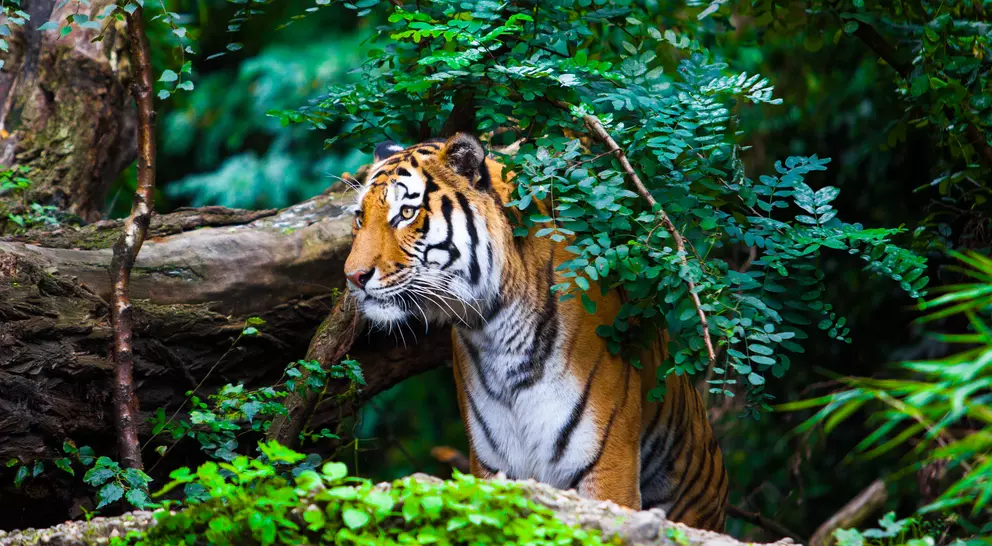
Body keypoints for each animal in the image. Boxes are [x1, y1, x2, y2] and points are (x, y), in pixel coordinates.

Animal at [343, 132, 729, 530]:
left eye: (406, 213)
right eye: (360, 217)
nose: (353, 277)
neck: (494, 329)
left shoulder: (607, 466)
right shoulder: (493, 465)